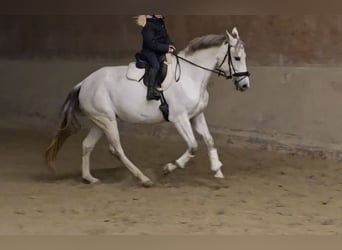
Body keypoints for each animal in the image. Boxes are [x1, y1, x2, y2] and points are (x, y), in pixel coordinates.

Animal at [44, 27, 248, 188]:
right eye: (237, 58)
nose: (245, 85)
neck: (191, 76)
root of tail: (84, 83)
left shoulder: (196, 115)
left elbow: (209, 140)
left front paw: (217, 171)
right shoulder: (179, 118)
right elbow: (193, 146)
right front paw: (169, 168)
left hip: (101, 120)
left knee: (87, 145)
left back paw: (89, 178)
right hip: (107, 121)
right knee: (116, 149)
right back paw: (143, 179)